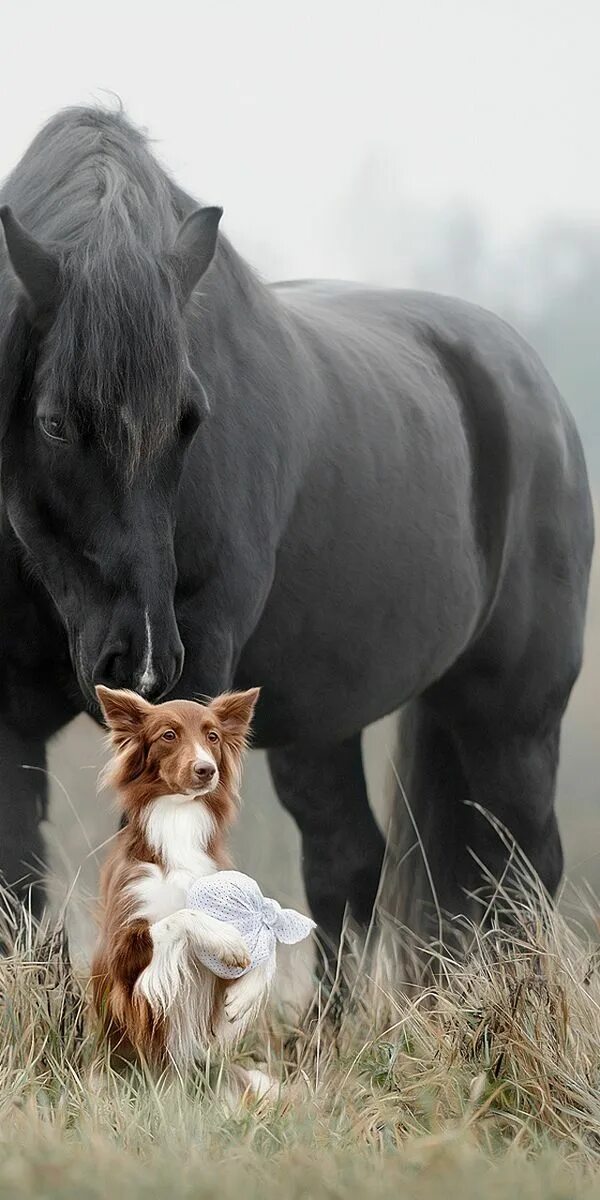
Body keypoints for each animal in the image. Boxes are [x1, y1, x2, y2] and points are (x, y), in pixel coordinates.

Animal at [0, 110, 592, 955]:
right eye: (52, 424)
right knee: (350, 864)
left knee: (521, 871)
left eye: (191, 420)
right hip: (326, 718)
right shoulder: (10, 717)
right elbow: (19, 889)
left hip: (512, 716)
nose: (142, 664)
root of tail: (530, 386)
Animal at [91, 686, 274, 1070]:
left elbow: (265, 945)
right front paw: (226, 939)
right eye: (169, 735)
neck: (179, 821)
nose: (206, 769)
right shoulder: (121, 960)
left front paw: (245, 993)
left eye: (213, 736)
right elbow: (180, 916)